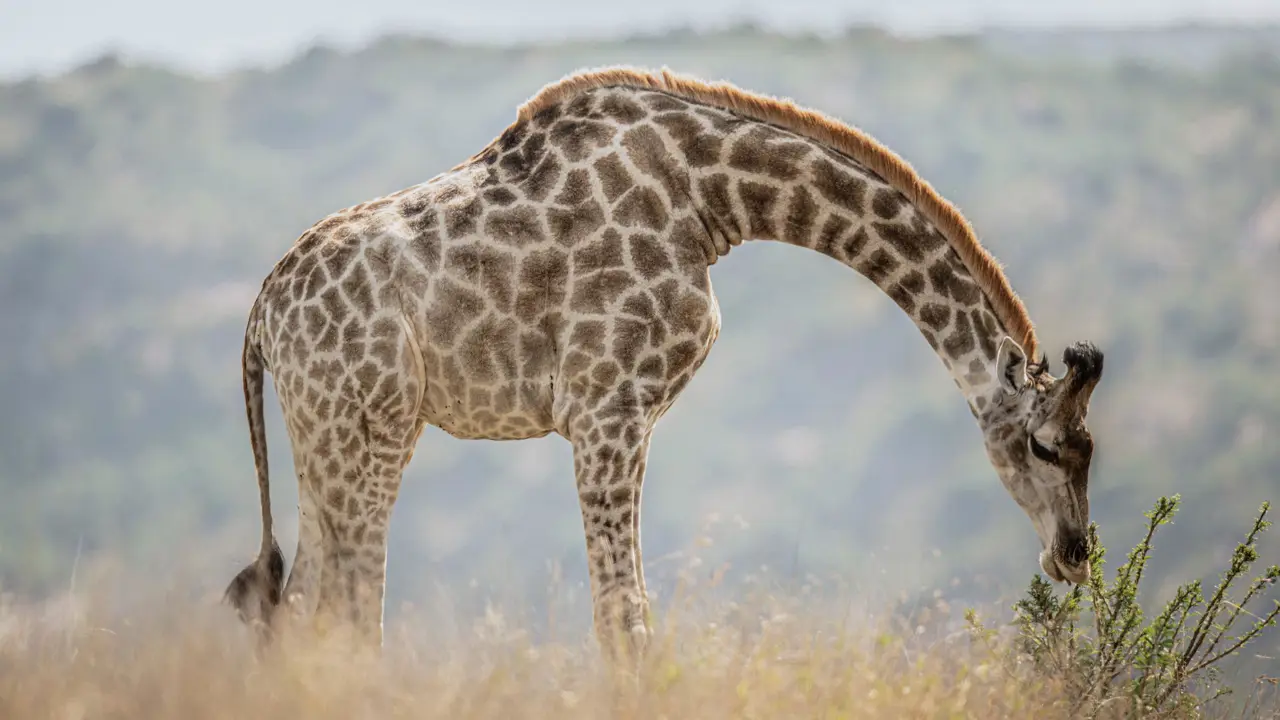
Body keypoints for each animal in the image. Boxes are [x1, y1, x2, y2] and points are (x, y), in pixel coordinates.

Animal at [223, 66, 1106, 669]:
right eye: (1044, 445)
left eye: (1088, 450)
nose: (1074, 554)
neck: (712, 198)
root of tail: (261, 316)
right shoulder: (605, 409)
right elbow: (625, 624)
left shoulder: (619, 417)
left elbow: (625, 618)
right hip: (364, 425)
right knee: (339, 609)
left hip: (350, 431)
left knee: (300, 605)